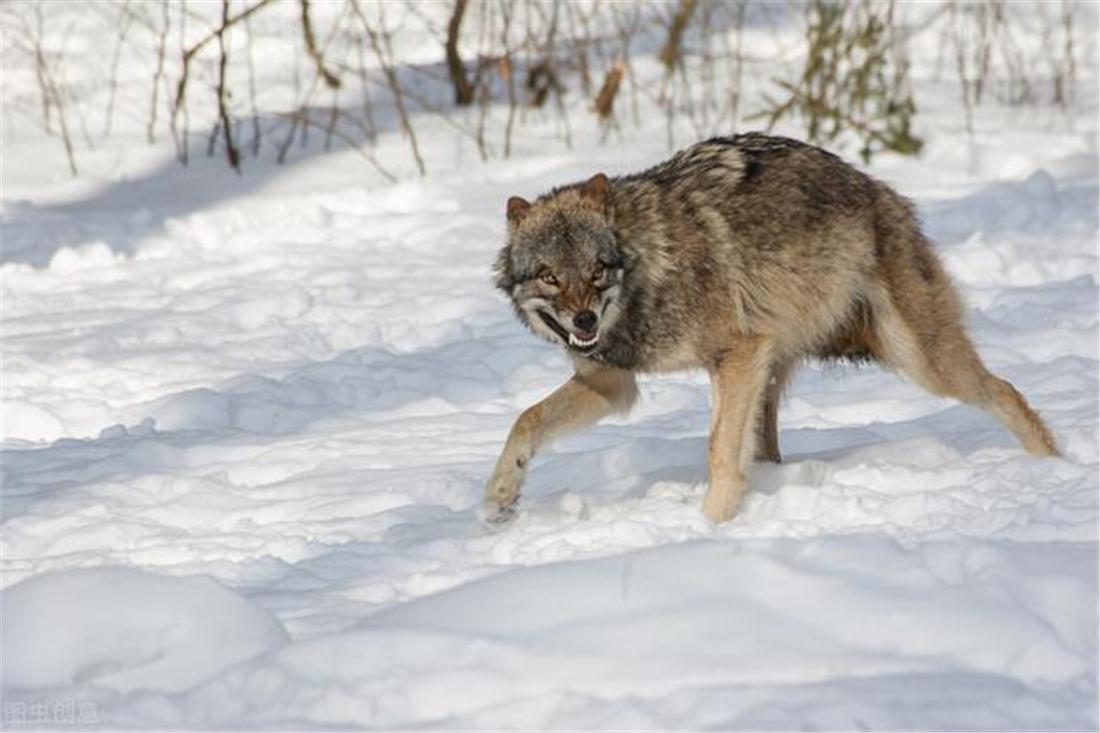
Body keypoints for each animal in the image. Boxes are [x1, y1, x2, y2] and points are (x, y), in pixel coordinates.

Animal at [486, 129, 1060, 519]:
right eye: (549, 276)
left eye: (596, 270)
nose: (584, 319)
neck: (646, 266)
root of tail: (881, 189)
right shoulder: (610, 382)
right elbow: (525, 420)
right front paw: (498, 500)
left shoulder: (737, 353)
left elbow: (718, 453)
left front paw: (709, 527)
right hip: (778, 378)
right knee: (768, 454)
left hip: (920, 360)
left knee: (1006, 391)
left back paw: (1054, 469)